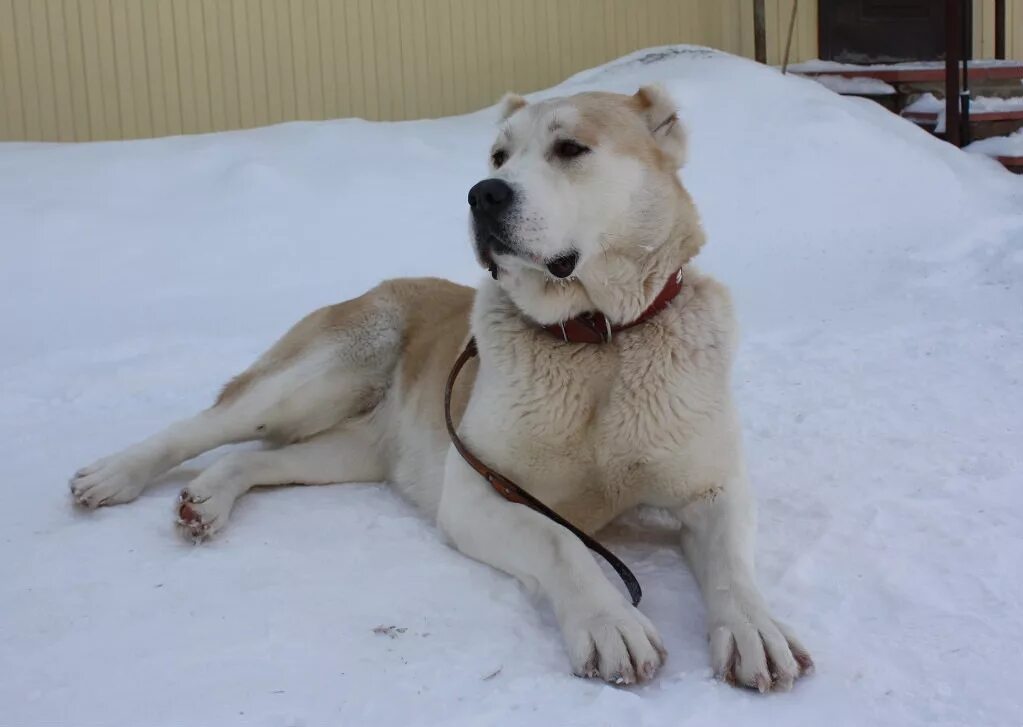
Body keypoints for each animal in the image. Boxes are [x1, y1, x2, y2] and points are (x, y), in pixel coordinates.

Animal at [68, 83, 810, 687]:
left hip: (358, 448)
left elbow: (732, 565)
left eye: (570, 148)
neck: (598, 343)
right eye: (498, 156)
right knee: (201, 427)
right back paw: (114, 475)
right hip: (319, 374)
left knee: (258, 458)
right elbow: (565, 544)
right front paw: (611, 622)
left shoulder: (711, 489)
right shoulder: (481, 492)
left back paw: (210, 498)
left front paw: (755, 628)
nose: (483, 193)